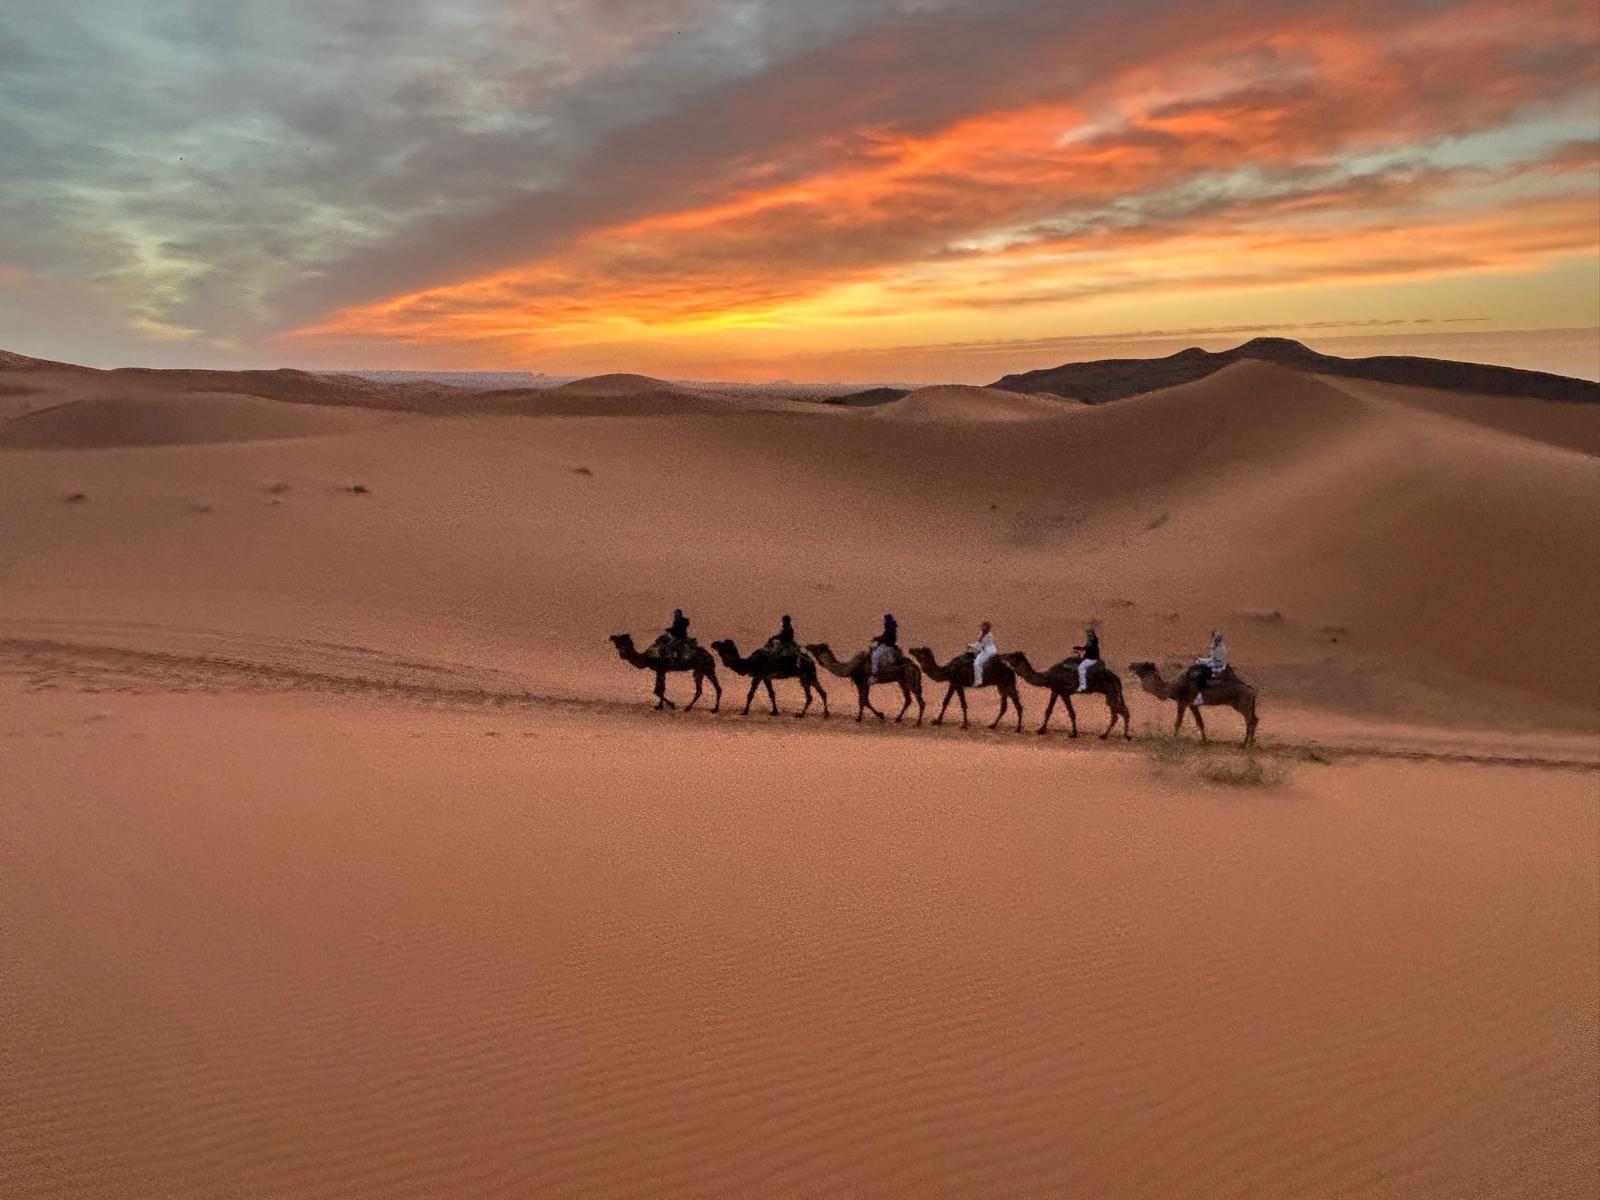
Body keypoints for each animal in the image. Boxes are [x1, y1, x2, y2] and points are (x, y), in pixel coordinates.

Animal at [999, 652, 1132, 739]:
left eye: (1011, 656)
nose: (1001, 656)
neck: (1047, 677)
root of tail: (1117, 679)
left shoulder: (1064, 692)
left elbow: (1071, 712)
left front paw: (1073, 734)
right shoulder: (1055, 690)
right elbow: (1049, 710)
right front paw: (1041, 730)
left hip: (1111, 692)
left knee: (1119, 713)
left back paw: (1110, 735)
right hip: (1110, 693)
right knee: (1119, 712)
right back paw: (1119, 735)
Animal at [1128, 662, 1258, 746]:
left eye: (1143, 665)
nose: (1131, 665)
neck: (1173, 689)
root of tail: (1253, 691)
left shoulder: (1183, 702)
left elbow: (1178, 722)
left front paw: (1172, 738)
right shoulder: (1192, 704)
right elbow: (1200, 722)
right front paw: (1204, 740)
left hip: (1242, 704)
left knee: (1250, 720)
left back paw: (1244, 744)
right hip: (1248, 705)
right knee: (1254, 719)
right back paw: (1251, 742)